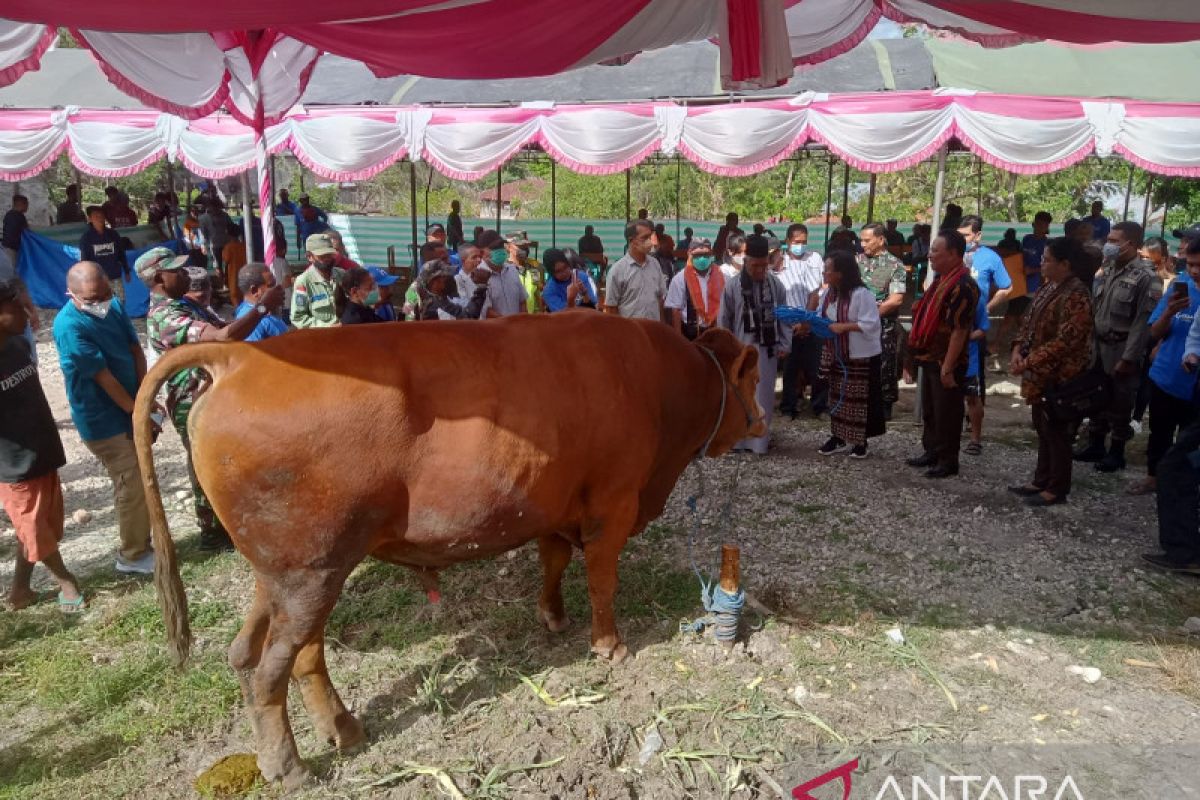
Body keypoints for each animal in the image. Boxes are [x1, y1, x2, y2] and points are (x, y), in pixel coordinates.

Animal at [133, 309, 768, 786]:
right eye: (752, 381)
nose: (762, 420)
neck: (654, 382)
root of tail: (240, 357)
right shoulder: (612, 505)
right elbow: (602, 579)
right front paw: (608, 645)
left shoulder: (553, 504)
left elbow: (554, 561)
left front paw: (553, 616)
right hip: (310, 572)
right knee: (273, 671)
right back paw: (289, 768)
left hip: (289, 573)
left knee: (265, 654)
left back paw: (343, 729)